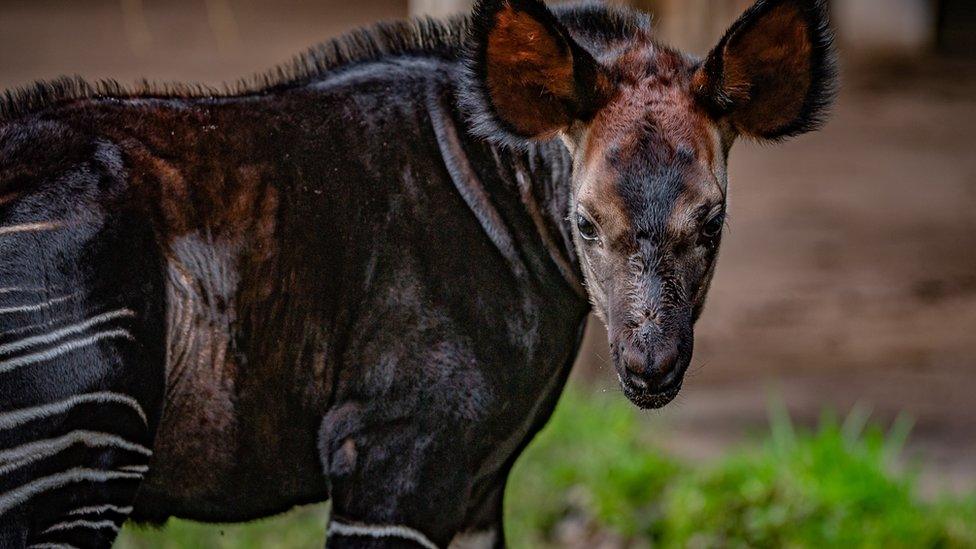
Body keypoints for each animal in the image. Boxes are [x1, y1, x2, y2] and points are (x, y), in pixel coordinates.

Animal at [1, 0, 840, 544]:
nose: (650, 365)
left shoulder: (475, 481)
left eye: (713, 222)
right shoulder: (392, 455)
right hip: (80, 458)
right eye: (584, 221)